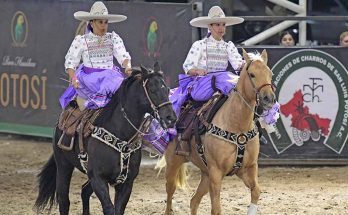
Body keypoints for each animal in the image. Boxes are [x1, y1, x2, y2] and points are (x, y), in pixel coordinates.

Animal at [34, 64, 177, 215]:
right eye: (152, 89)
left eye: (167, 89)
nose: (171, 118)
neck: (120, 134)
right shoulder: (98, 178)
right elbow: (109, 208)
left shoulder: (126, 183)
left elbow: (118, 209)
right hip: (63, 164)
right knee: (63, 199)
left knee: (84, 191)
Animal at [159, 49, 276, 215]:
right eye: (252, 74)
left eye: (270, 73)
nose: (269, 98)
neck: (237, 125)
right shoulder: (216, 172)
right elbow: (216, 209)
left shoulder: (248, 168)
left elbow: (256, 191)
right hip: (173, 163)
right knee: (170, 194)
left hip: (205, 174)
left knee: (194, 200)